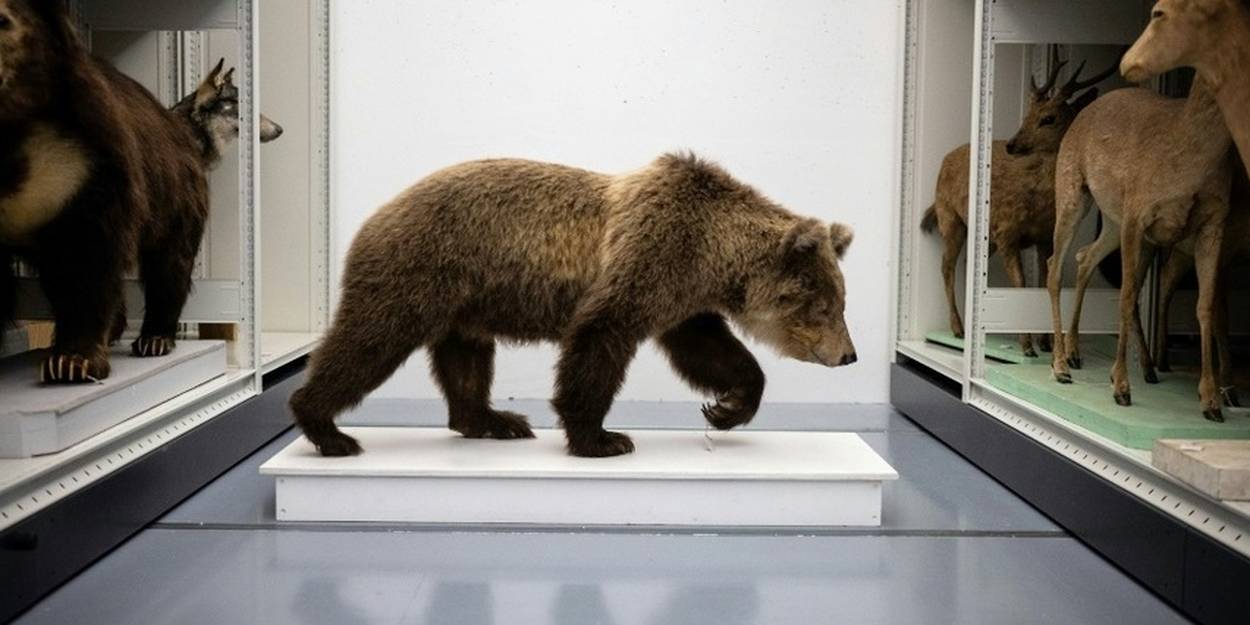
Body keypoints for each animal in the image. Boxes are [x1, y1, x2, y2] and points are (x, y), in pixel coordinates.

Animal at [292, 153, 860, 460]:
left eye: (841, 301)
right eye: (827, 306)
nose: (849, 355)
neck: (710, 253)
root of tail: (374, 215)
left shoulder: (682, 299)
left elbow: (710, 350)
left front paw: (728, 406)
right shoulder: (647, 261)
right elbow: (599, 340)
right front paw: (603, 437)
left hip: (464, 299)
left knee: (467, 359)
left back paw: (494, 420)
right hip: (418, 270)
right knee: (370, 342)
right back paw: (328, 430)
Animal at [920, 61, 1115, 360]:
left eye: (1049, 118)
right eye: (1027, 114)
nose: (1012, 144)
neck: (1037, 203)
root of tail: (945, 159)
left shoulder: (1044, 238)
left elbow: (1045, 281)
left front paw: (1046, 344)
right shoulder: (1006, 231)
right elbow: (1021, 283)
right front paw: (1027, 346)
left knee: (962, 265)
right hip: (949, 216)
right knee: (947, 265)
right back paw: (958, 328)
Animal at [1045, 73, 1230, 422]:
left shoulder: (1214, 225)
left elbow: (1206, 307)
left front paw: (1212, 400)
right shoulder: (1137, 214)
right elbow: (1127, 294)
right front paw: (1121, 387)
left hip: (1112, 220)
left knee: (1085, 256)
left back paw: (1075, 352)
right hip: (1073, 191)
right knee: (1054, 267)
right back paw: (1060, 365)